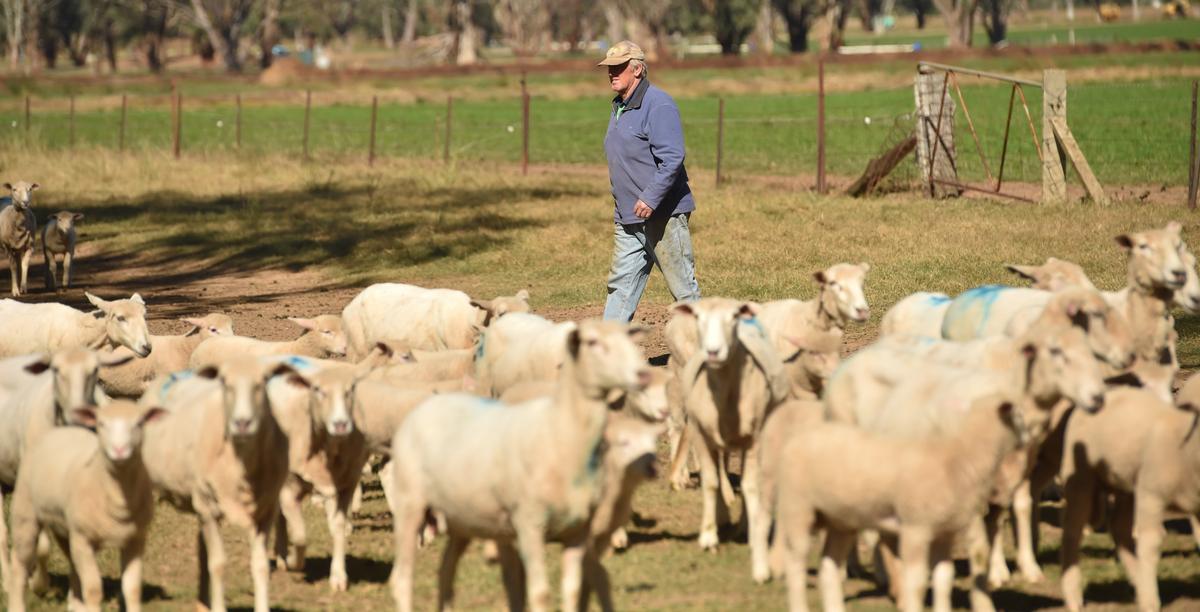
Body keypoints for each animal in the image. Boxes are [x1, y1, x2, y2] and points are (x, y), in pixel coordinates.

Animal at [7, 400, 165, 612]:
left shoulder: (135, 539)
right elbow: (93, 589)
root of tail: (59, 431)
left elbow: (132, 589)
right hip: (26, 514)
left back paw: (75, 603)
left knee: (72, 563)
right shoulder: (83, 538)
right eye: (101, 424)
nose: (120, 450)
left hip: (66, 527)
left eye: (139, 424)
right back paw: (17, 604)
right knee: (19, 563)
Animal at [139, 356, 297, 612]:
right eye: (224, 382)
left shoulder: (265, 511)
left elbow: (260, 565)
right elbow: (219, 565)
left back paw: (203, 602)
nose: (242, 423)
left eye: (263, 382)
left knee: (201, 548)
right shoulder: (210, 507)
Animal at [773, 392, 1026, 612]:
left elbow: (943, 578)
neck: (960, 459)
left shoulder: (944, 533)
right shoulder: (915, 528)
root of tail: (798, 438)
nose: (1028, 437)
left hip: (841, 521)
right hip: (798, 509)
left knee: (829, 567)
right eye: (1018, 415)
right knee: (795, 564)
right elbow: (916, 583)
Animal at [1058, 382, 1200, 612]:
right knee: (1072, 530)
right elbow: (1150, 543)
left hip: (1126, 484)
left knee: (1119, 528)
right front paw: (1150, 602)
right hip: (1080, 478)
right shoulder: (1151, 495)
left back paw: (1137, 580)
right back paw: (1073, 596)